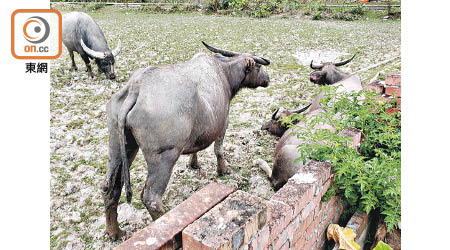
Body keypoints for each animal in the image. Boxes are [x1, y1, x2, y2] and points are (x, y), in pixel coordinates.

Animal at [102, 42, 268, 239]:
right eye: (259, 67)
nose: (267, 79)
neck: (224, 73)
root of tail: (136, 88)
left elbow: (196, 148)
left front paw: (193, 163)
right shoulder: (224, 122)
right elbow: (218, 150)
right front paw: (224, 169)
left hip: (119, 146)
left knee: (110, 187)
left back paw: (115, 231)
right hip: (164, 157)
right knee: (151, 198)